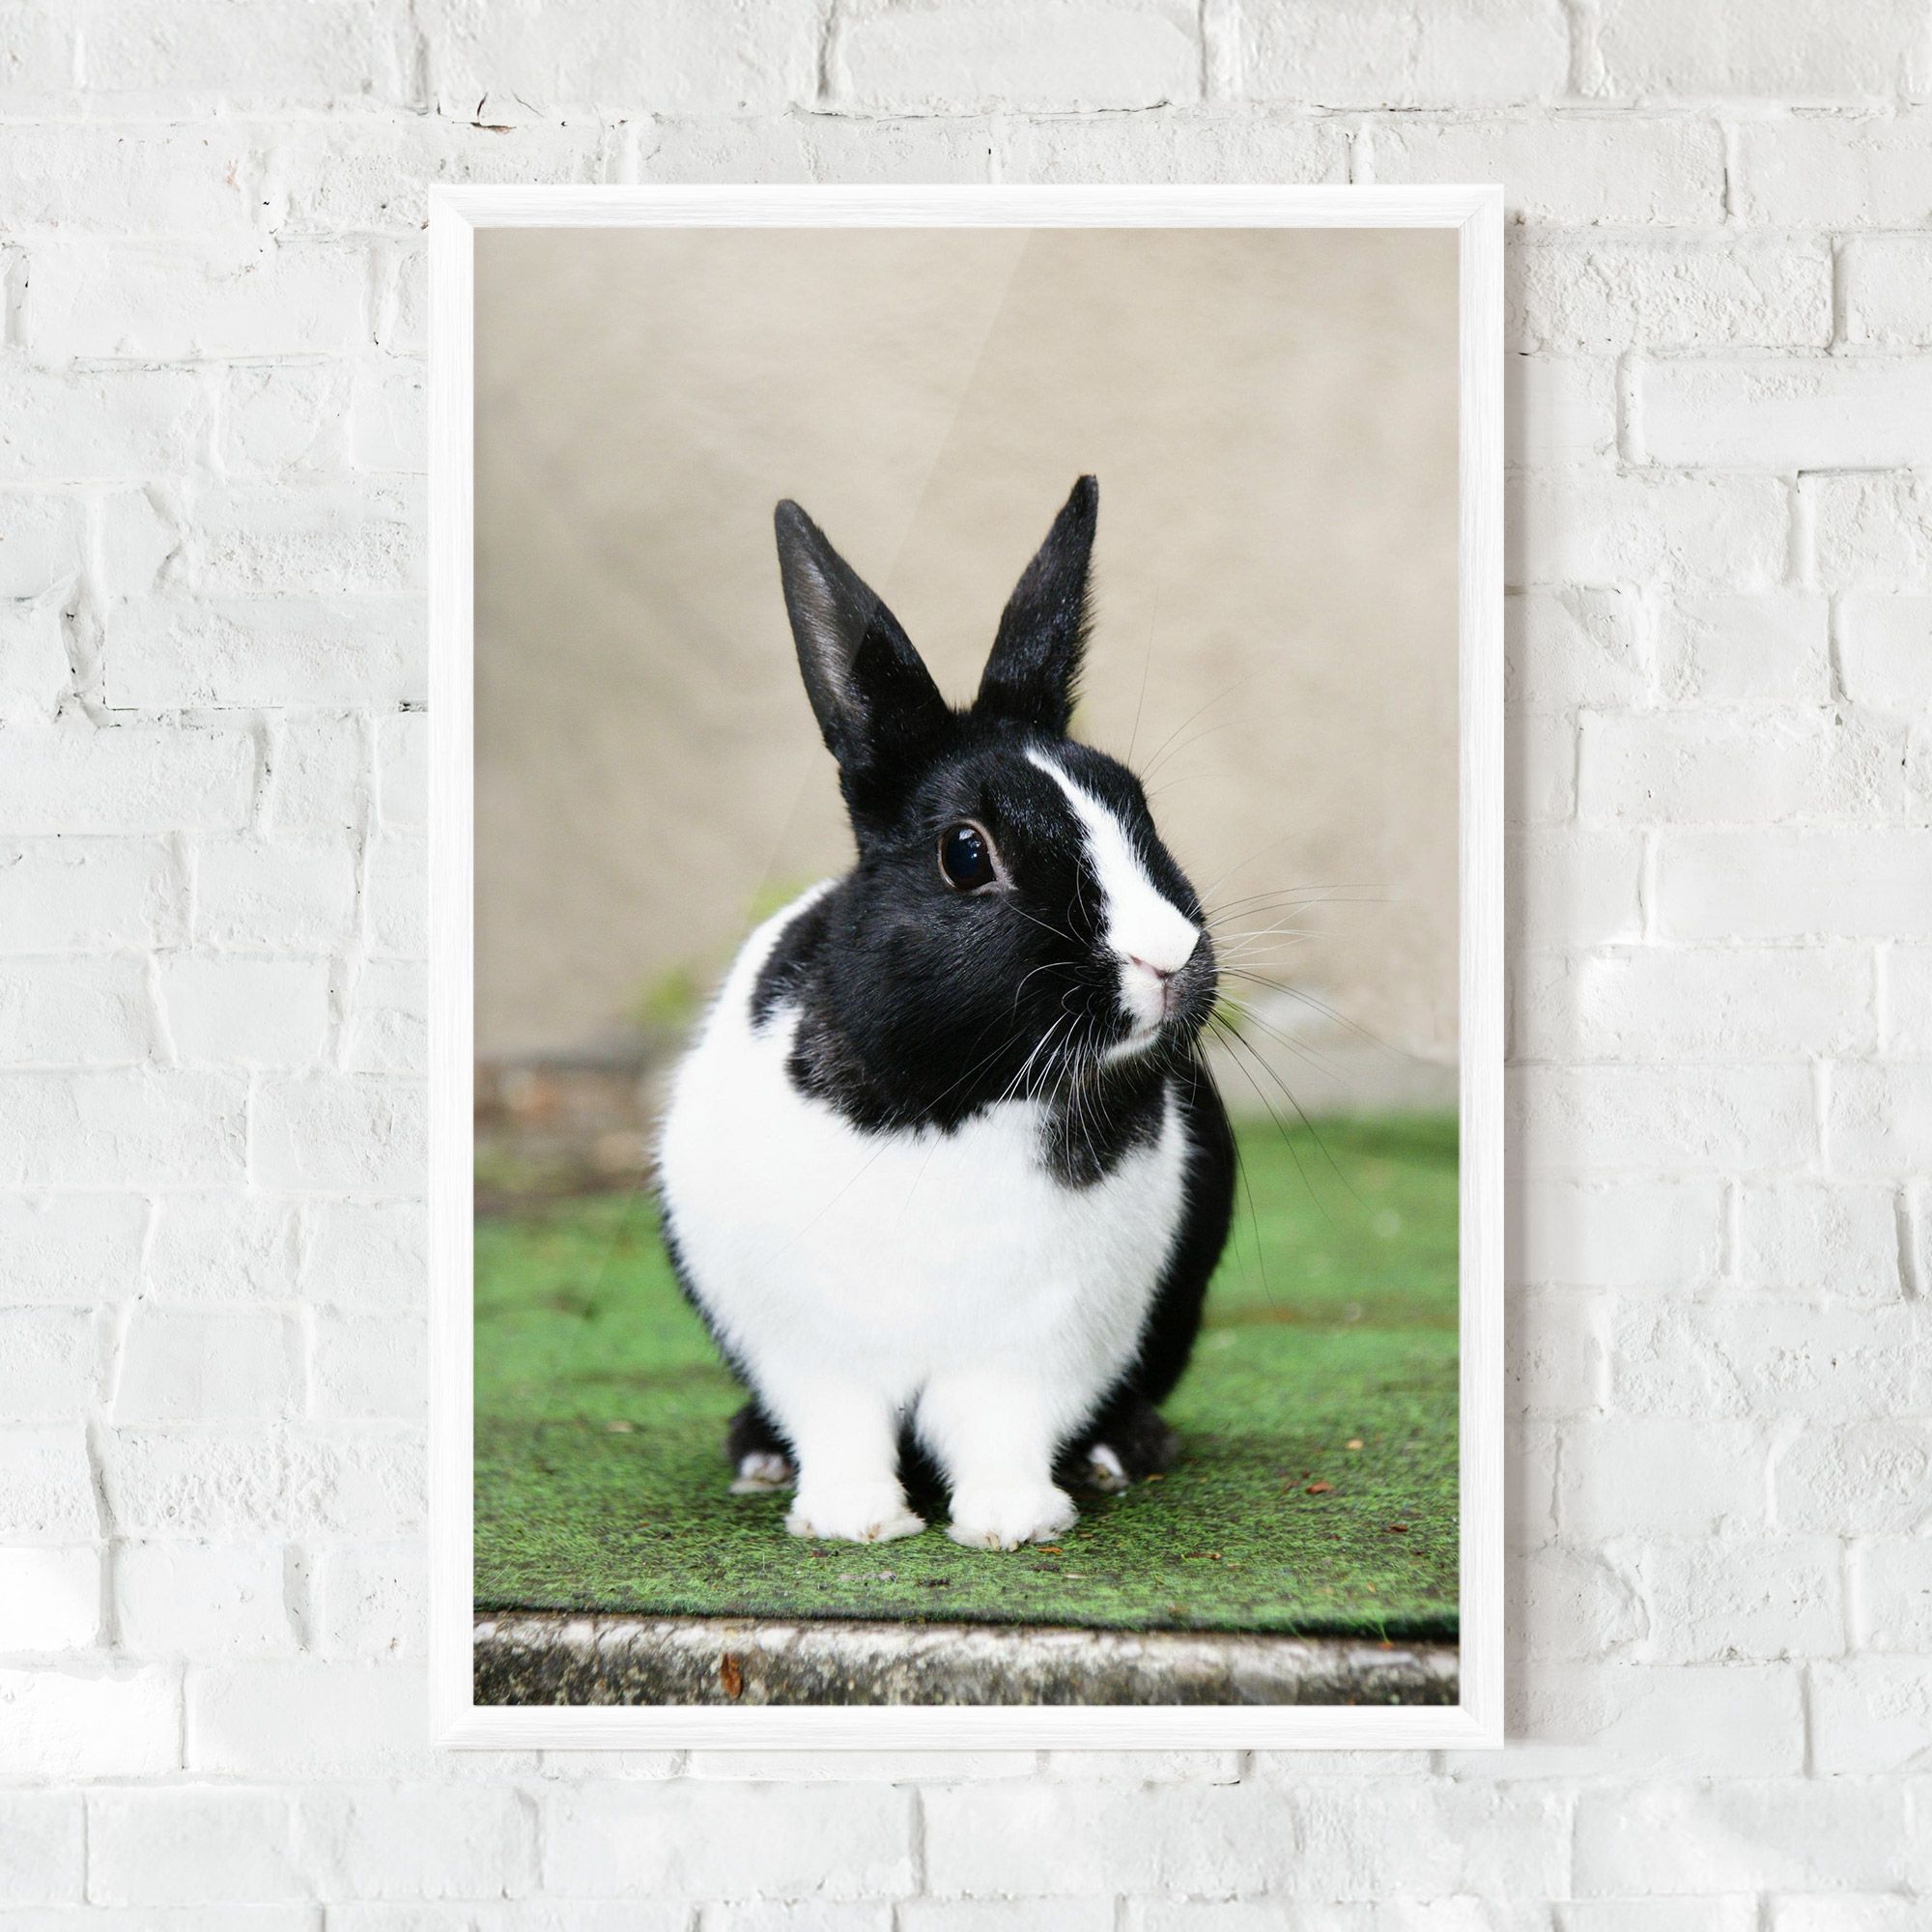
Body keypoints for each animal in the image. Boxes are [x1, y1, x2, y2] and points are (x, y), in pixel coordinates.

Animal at [656, 476, 1235, 1550]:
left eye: (1136, 804)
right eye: (967, 854)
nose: (1169, 957)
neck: (954, 1099)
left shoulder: (1035, 1347)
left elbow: (1001, 1428)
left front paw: (1012, 1522)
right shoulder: (813, 1349)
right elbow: (840, 1427)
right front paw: (852, 1522)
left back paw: (1120, 1451)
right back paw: (757, 1456)